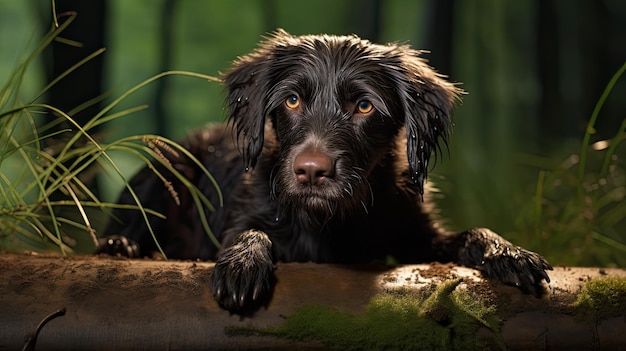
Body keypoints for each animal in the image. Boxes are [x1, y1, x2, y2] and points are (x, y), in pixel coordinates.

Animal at [101, 29, 552, 314]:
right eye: (292, 100)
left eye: (364, 106)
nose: (311, 172)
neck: (331, 219)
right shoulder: (244, 216)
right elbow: (250, 232)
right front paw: (242, 262)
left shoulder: (417, 237)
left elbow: (470, 233)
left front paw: (509, 252)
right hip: (166, 165)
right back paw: (121, 246)